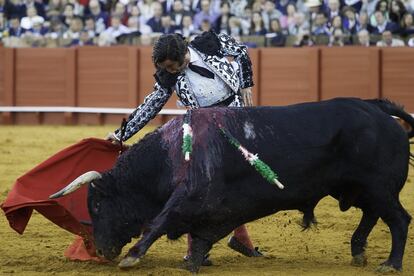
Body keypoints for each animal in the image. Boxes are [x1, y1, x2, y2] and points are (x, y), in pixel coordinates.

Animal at [50, 97, 412, 272]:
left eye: (97, 205)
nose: (100, 250)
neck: (169, 154)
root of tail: (377, 109)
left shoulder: (189, 196)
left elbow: (159, 222)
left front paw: (134, 256)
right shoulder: (211, 212)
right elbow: (198, 238)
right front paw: (192, 263)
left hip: (378, 186)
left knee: (398, 219)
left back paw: (390, 264)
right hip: (355, 187)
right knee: (372, 214)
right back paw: (358, 252)